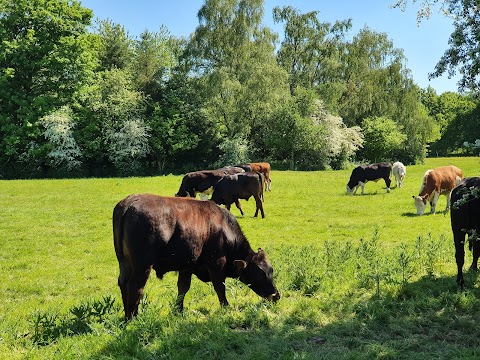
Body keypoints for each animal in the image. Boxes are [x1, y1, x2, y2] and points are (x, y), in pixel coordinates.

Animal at [113, 193, 280, 320]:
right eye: (260, 273)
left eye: (271, 270)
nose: (276, 295)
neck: (224, 229)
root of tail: (129, 202)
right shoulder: (217, 263)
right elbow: (220, 286)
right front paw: (225, 306)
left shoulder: (187, 265)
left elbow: (183, 288)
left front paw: (178, 310)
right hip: (142, 266)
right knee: (136, 287)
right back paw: (133, 318)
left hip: (125, 262)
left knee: (123, 283)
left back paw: (126, 316)